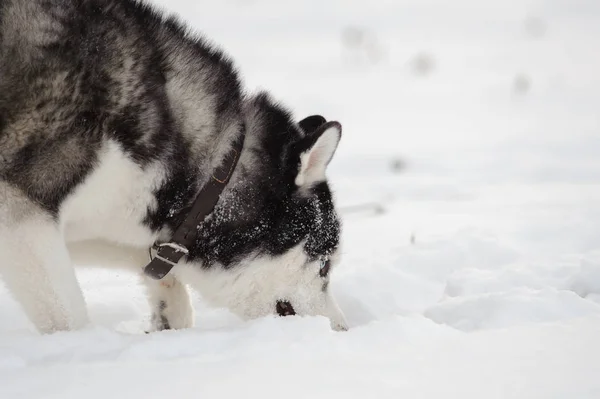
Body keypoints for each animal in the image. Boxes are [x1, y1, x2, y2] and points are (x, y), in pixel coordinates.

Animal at [0, 0, 346, 334]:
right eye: (325, 264)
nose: (341, 328)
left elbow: (153, 263)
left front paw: (168, 318)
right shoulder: (22, 215)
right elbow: (69, 316)